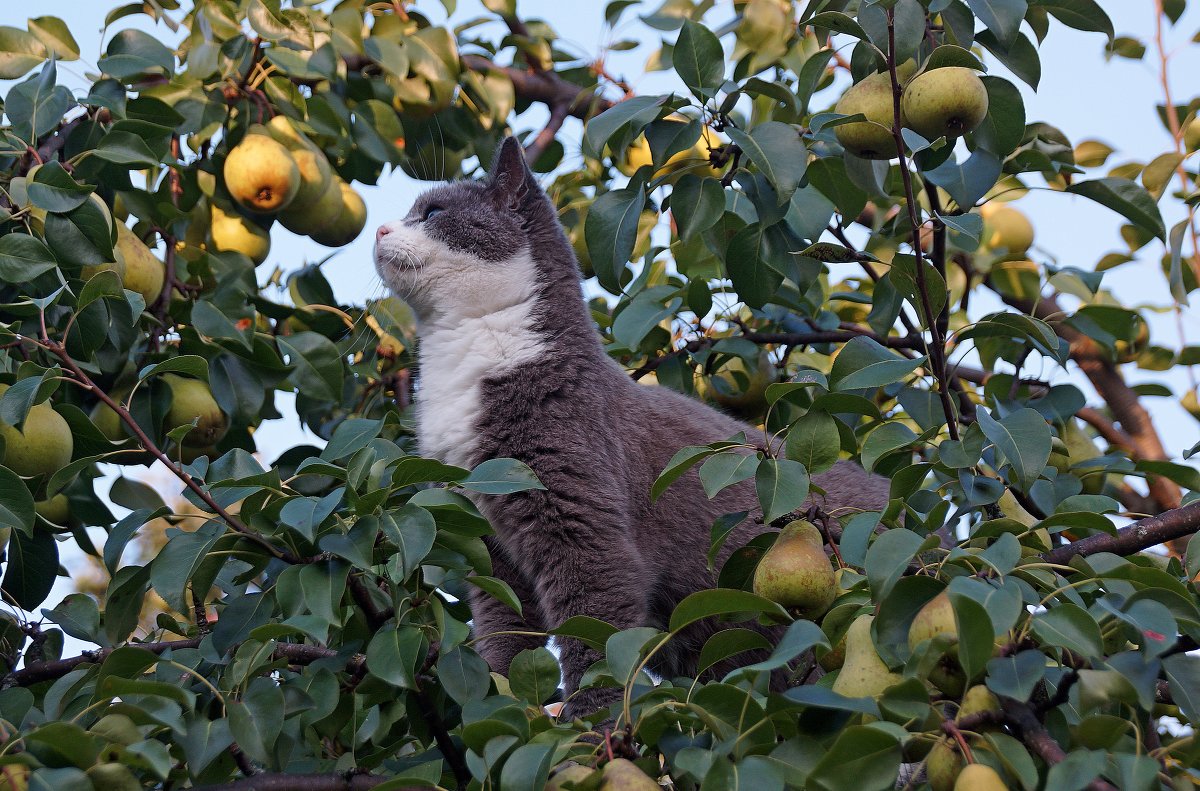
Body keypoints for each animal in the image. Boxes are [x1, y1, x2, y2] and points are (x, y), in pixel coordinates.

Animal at [374, 137, 892, 724]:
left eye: (434, 213)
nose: (380, 231)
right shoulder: (485, 538)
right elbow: (504, 626)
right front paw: (497, 701)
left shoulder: (574, 487)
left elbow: (595, 610)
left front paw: (586, 718)